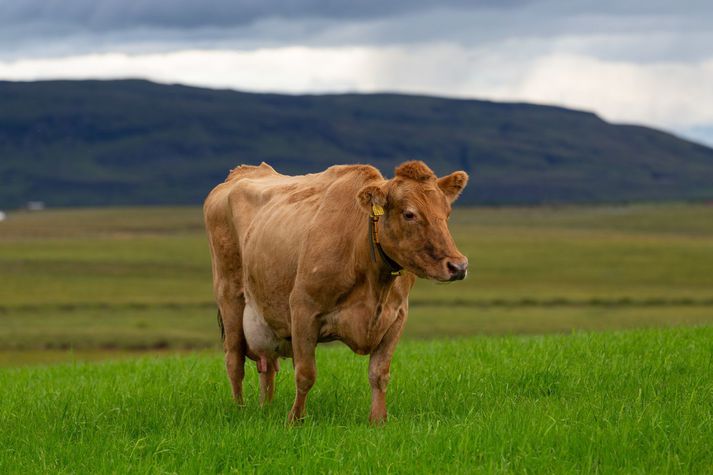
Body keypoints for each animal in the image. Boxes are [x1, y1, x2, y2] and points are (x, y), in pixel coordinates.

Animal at [202, 161, 468, 424]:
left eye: (447, 213)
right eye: (409, 214)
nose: (458, 266)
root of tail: (240, 172)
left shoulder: (396, 317)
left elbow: (379, 374)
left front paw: (378, 420)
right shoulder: (303, 309)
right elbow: (305, 374)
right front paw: (295, 420)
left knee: (266, 366)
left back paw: (265, 407)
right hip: (230, 296)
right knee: (234, 361)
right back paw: (239, 409)